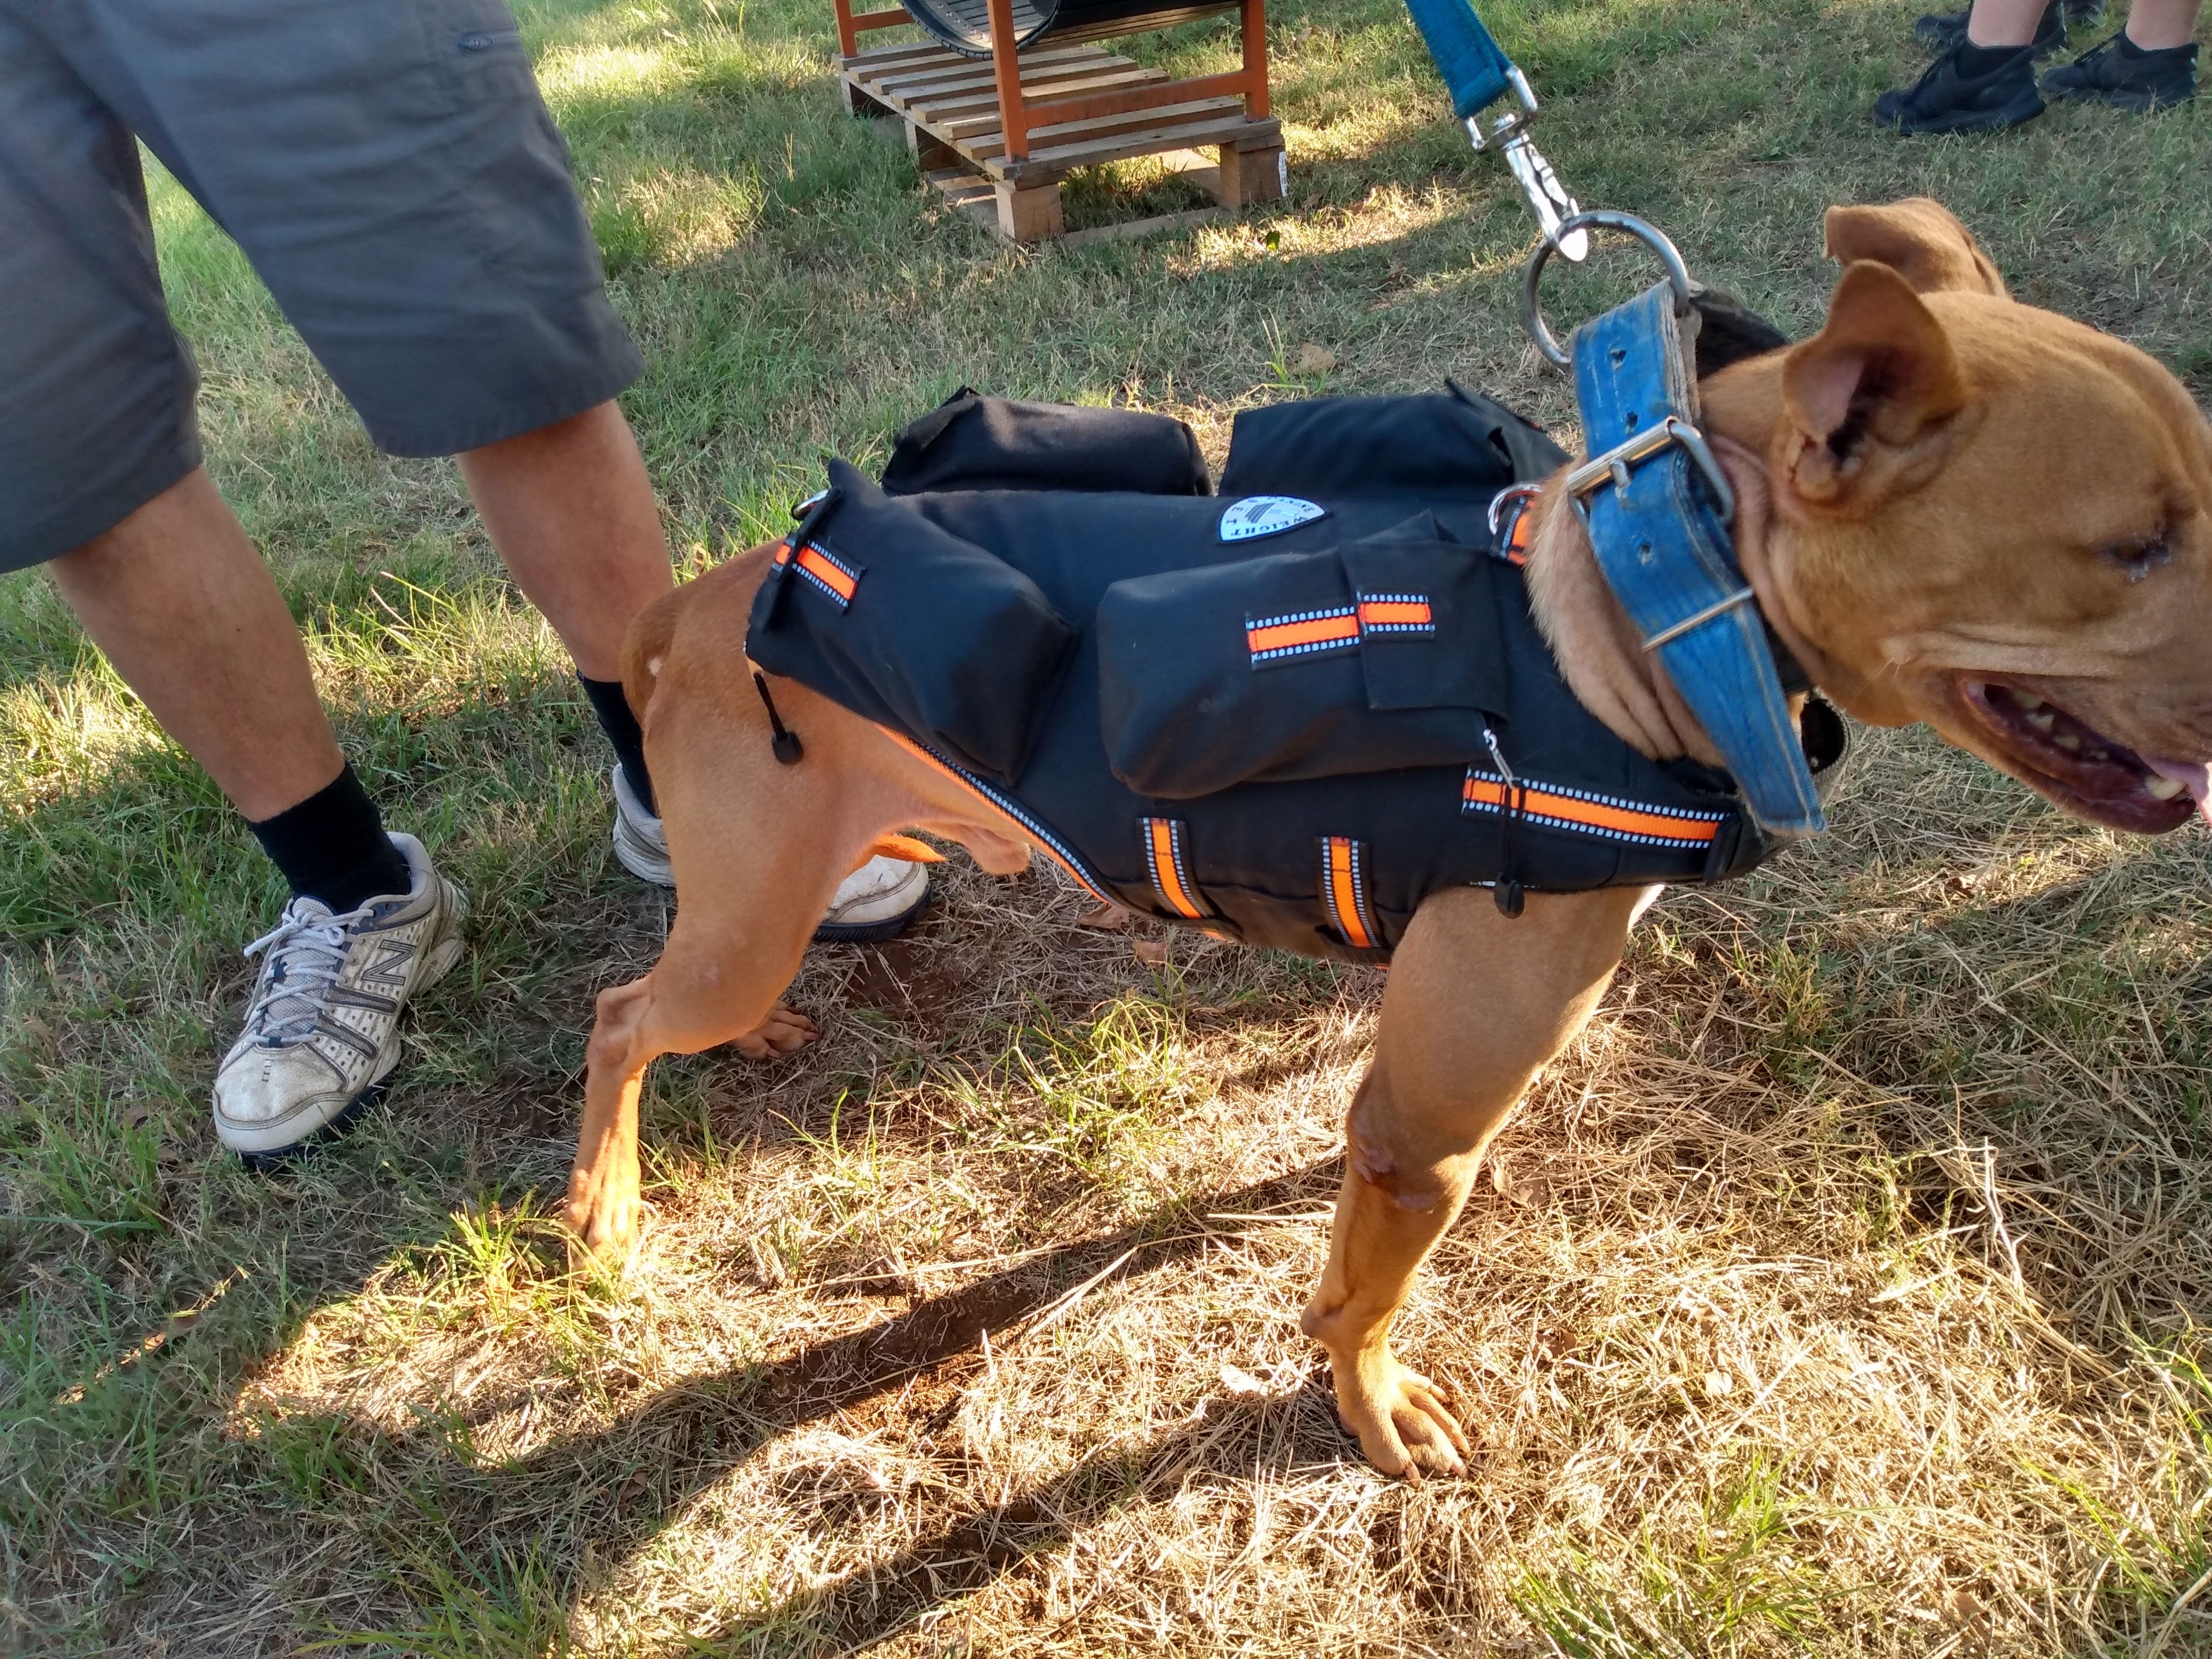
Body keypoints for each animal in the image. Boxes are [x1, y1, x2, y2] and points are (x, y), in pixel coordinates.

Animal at [566, 201, 2212, 1486]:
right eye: (2131, 547)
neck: (1626, 615)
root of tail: (694, 603)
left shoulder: (1408, 1105)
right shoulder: (1427, 1135)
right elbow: (1357, 1303)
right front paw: (1371, 1415)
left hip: (756, 909)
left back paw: (752, 1047)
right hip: (740, 923)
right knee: (621, 1014)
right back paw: (603, 1210)